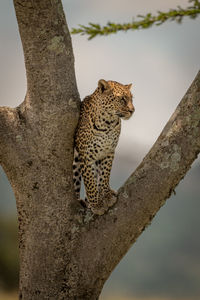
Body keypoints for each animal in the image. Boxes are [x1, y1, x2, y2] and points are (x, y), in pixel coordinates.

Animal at [72, 79, 135, 216]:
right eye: (122, 99)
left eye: (131, 99)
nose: (132, 110)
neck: (108, 124)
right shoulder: (86, 155)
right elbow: (90, 182)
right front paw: (96, 205)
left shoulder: (109, 151)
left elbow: (104, 174)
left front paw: (106, 196)